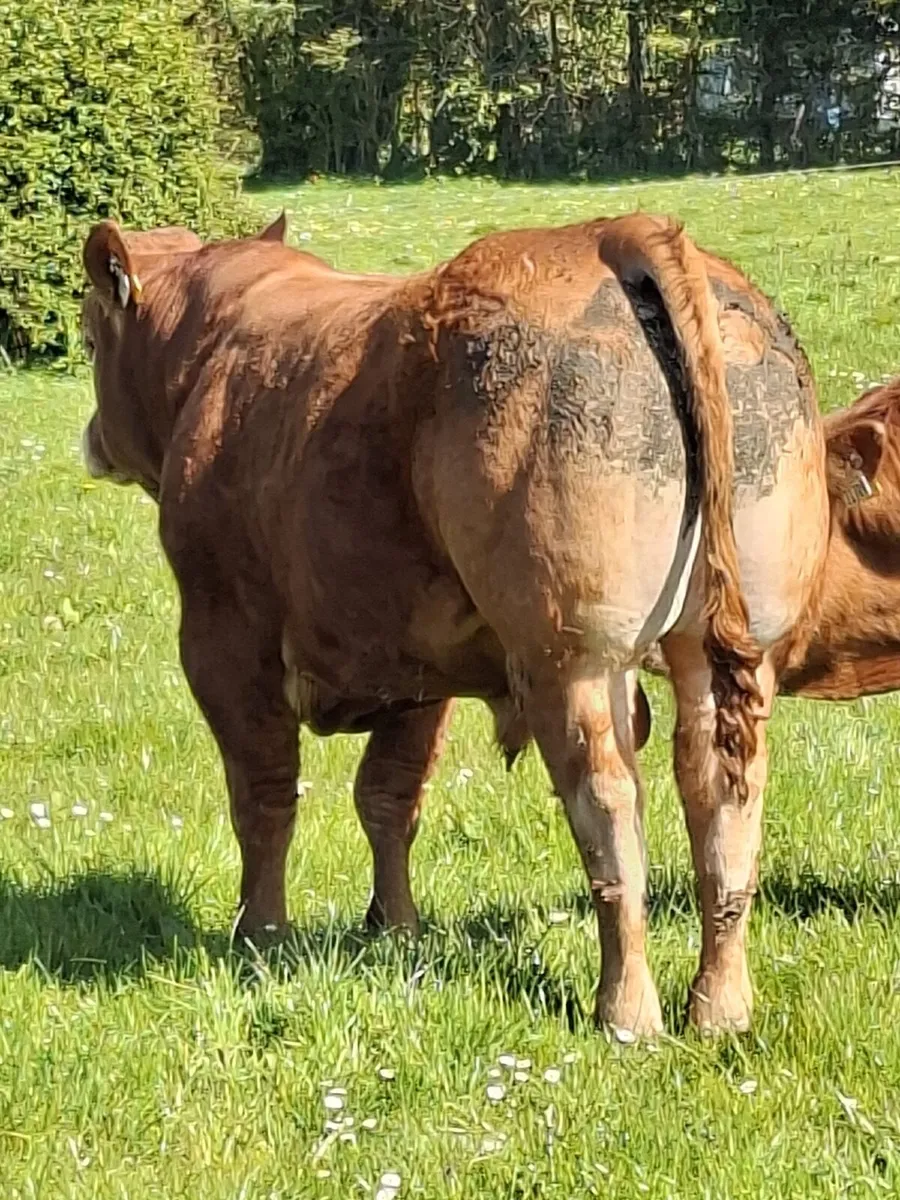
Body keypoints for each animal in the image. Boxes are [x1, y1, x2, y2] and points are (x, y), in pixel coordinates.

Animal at [80, 210, 829, 1037]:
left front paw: (261, 935)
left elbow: (265, 796)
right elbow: (389, 797)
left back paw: (626, 1011)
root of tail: (616, 230)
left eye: (89, 338)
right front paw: (394, 928)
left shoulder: (224, 640)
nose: (92, 438)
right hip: (727, 648)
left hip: (574, 658)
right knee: (722, 794)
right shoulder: (415, 662)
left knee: (608, 806)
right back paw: (719, 1006)